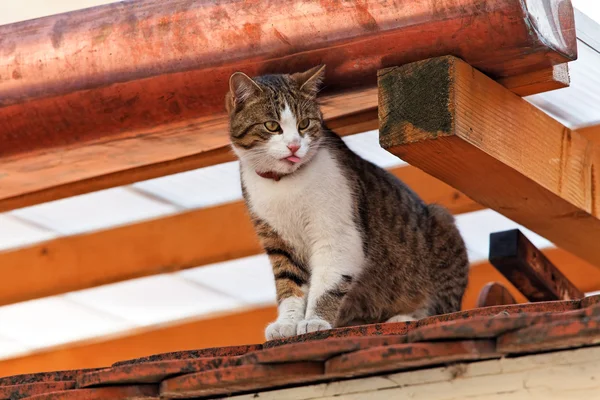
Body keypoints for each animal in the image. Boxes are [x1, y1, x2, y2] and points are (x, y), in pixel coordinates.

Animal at [225, 64, 468, 340]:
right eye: (271, 126)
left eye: (304, 124)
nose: (295, 146)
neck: (285, 186)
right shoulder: (278, 241)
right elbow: (289, 285)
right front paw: (287, 323)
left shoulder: (337, 234)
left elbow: (327, 283)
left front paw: (315, 321)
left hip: (441, 224)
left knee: (439, 307)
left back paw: (403, 317)